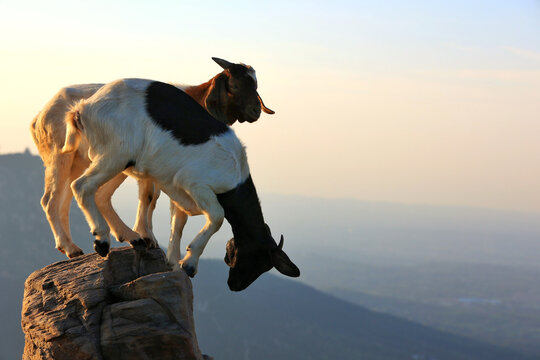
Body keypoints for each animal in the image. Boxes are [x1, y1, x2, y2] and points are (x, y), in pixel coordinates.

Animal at [29, 57, 274, 258]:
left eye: (255, 85)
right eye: (234, 85)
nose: (255, 111)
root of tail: (40, 116)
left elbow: (152, 198)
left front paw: (149, 238)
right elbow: (151, 197)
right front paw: (150, 238)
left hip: (86, 161)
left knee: (77, 198)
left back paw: (100, 240)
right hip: (63, 157)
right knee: (52, 199)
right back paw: (72, 247)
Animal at [63, 78, 300, 290]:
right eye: (258, 258)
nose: (235, 286)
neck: (235, 175)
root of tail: (83, 108)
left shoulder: (178, 190)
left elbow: (178, 225)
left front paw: (175, 263)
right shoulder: (194, 182)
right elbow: (217, 217)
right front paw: (190, 264)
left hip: (119, 161)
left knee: (101, 194)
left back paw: (131, 238)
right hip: (115, 155)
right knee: (81, 186)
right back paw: (102, 241)